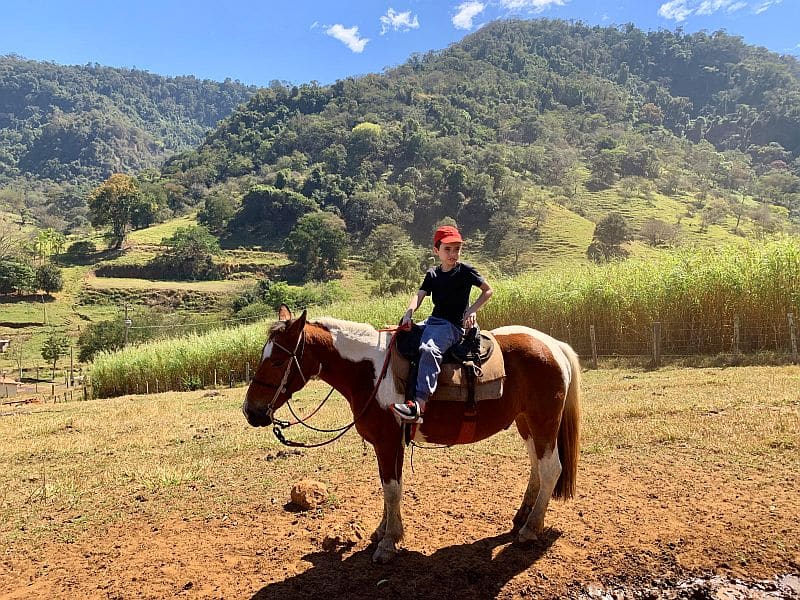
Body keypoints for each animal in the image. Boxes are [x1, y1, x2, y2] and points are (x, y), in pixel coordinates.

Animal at [242, 308, 580, 564]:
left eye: (277, 361)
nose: (251, 411)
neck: (370, 371)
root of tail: (553, 345)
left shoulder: (388, 441)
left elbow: (392, 490)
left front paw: (388, 543)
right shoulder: (390, 445)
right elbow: (388, 488)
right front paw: (383, 531)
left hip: (543, 420)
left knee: (551, 469)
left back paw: (531, 528)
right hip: (526, 423)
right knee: (537, 466)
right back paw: (522, 517)